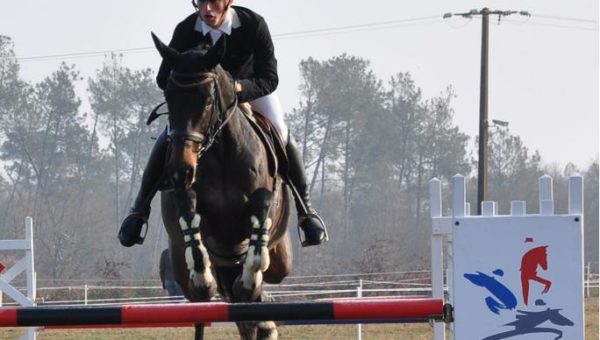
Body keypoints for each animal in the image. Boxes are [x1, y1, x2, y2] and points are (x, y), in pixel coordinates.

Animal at [152, 32, 292, 340]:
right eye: (168, 97)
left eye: (207, 101)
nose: (180, 169)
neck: (223, 152)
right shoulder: (185, 195)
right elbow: (190, 218)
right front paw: (203, 278)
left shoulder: (262, 197)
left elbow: (259, 222)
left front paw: (249, 280)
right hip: (182, 263)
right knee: (209, 304)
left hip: (280, 261)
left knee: (255, 289)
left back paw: (263, 318)